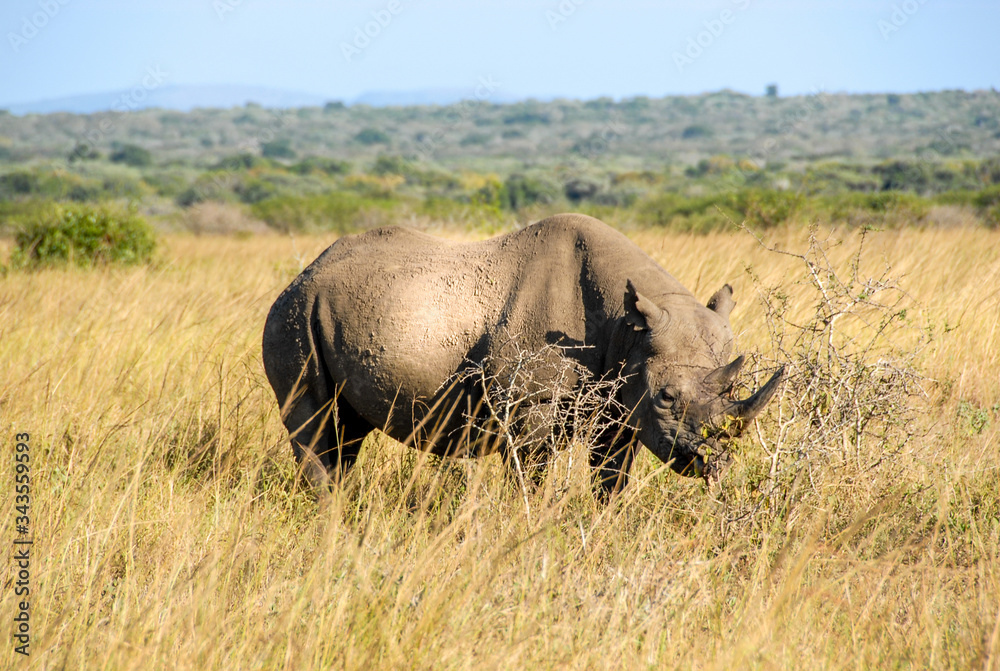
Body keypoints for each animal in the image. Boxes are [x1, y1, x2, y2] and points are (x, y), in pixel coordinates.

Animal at [262, 213, 783, 497]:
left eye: (735, 389)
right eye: (668, 398)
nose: (713, 463)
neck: (628, 325)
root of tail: (302, 274)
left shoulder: (623, 404)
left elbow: (611, 477)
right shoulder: (532, 402)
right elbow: (532, 473)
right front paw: (531, 524)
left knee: (346, 433)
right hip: (293, 316)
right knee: (315, 426)